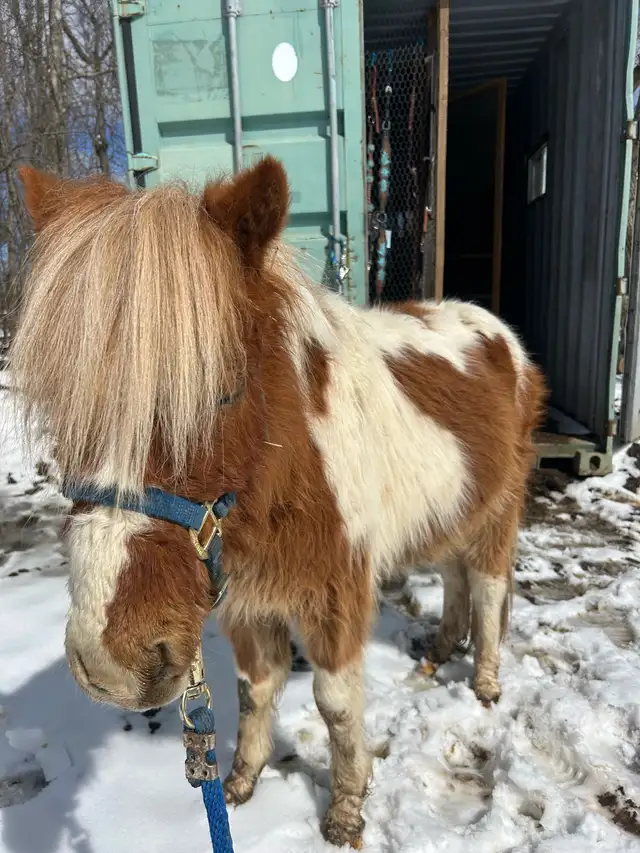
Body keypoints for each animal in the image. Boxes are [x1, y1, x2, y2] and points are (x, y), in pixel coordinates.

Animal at [13, 157, 546, 848]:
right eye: (58, 401)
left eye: (224, 392)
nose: (111, 666)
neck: (289, 469)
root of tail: (497, 333)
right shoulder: (247, 600)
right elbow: (254, 689)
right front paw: (242, 781)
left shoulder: (338, 596)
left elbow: (337, 707)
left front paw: (345, 809)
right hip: (453, 511)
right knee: (456, 578)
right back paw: (438, 653)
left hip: (497, 514)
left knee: (486, 586)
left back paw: (483, 681)